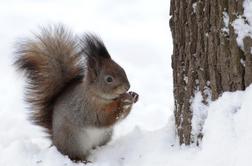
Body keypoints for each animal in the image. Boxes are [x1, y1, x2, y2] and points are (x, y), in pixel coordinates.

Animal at [14, 25, 139, 161]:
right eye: (109, 79)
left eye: (122, 69)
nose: (127, 86)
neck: (98, 96)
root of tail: (56, 142)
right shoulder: (87, 108)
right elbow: (104, 118)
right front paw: (124, 101)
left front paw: (133, 96)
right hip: (73, 139)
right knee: (74, 154)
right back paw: (83, 160)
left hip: (105, 135)